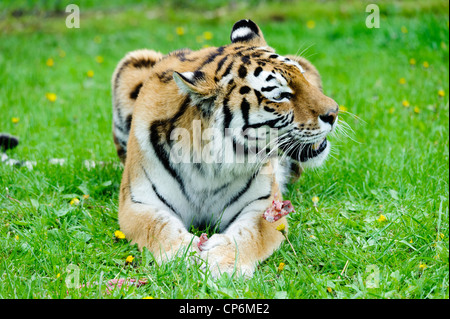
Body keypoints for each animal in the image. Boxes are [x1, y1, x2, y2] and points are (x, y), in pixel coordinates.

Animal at [111, 19, 338, 278]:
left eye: (303, 79)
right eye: (280, 96)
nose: (334, 112)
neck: (207, 165)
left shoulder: (262, 205)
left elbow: (249, 235)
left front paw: (222, 262)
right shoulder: (139, 203)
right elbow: (159, 227)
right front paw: (183, 256)